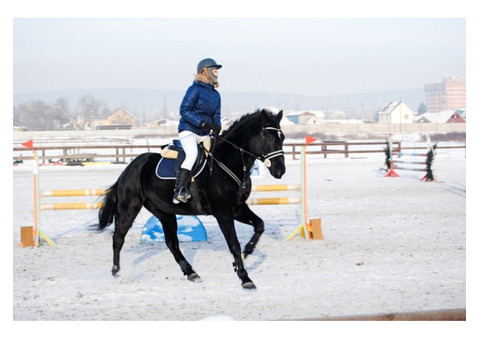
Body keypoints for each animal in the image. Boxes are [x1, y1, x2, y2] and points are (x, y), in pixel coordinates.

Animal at [97, 107, 284, 288]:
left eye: (281, 137)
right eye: (267, 136)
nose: (280, 170)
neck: (226, 162)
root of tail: (129, 168)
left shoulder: (237, 208)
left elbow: (259, 225)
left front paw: (246, 253)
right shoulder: (223, 213)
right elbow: (234, 244)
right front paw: (244, 277)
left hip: (164, 212)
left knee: (172, 242)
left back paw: (190, 272)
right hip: (130, 208)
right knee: (118, 238)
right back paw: (116, 273)